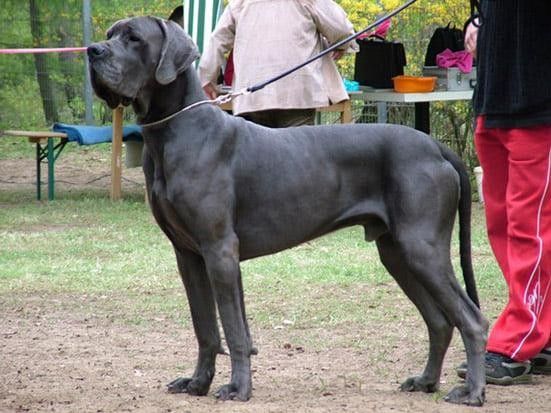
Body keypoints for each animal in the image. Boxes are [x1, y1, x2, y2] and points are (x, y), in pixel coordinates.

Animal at [87, 10, 488, 406]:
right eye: (109, 35)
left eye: (134, 38)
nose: (92, 51)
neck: (176, 131)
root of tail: (436, 147)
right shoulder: (189, 255)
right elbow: (206, 328)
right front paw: (198, 382)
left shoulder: (219, 250)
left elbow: (232, 329)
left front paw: (238, 388)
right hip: (396, 251)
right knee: (440, 321)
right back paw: (426, 380)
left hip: (422, 248)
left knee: (472, 320)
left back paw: (473, 391)